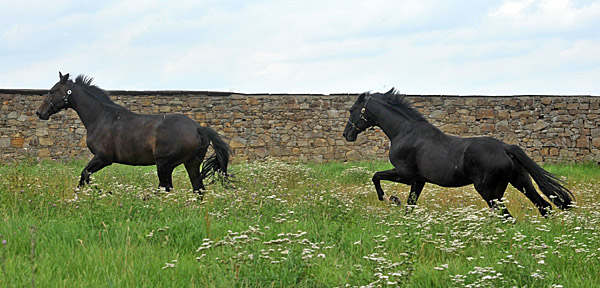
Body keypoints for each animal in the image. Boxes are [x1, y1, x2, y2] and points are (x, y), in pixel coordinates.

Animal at [36, 72, 231, 199]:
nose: (40, 112)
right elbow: (85, 176)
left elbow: (84, 174)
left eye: (52, 91)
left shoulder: (103, 158)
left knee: (166, 187)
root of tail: (198, 128)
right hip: (191, 163)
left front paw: (96, 193)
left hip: (165, 164)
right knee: (197, 188)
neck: (101, 117)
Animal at [342, 89, 572, 217]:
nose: (346, 134)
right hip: (521, 181)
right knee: (544, 207)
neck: (404, 132)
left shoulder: (405, 175)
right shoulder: (418, 180)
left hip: (490, 191)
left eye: (352, 110)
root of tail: (506, 148)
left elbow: (376, 176)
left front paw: (388, 198)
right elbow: (410, 206)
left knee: (507, 216)